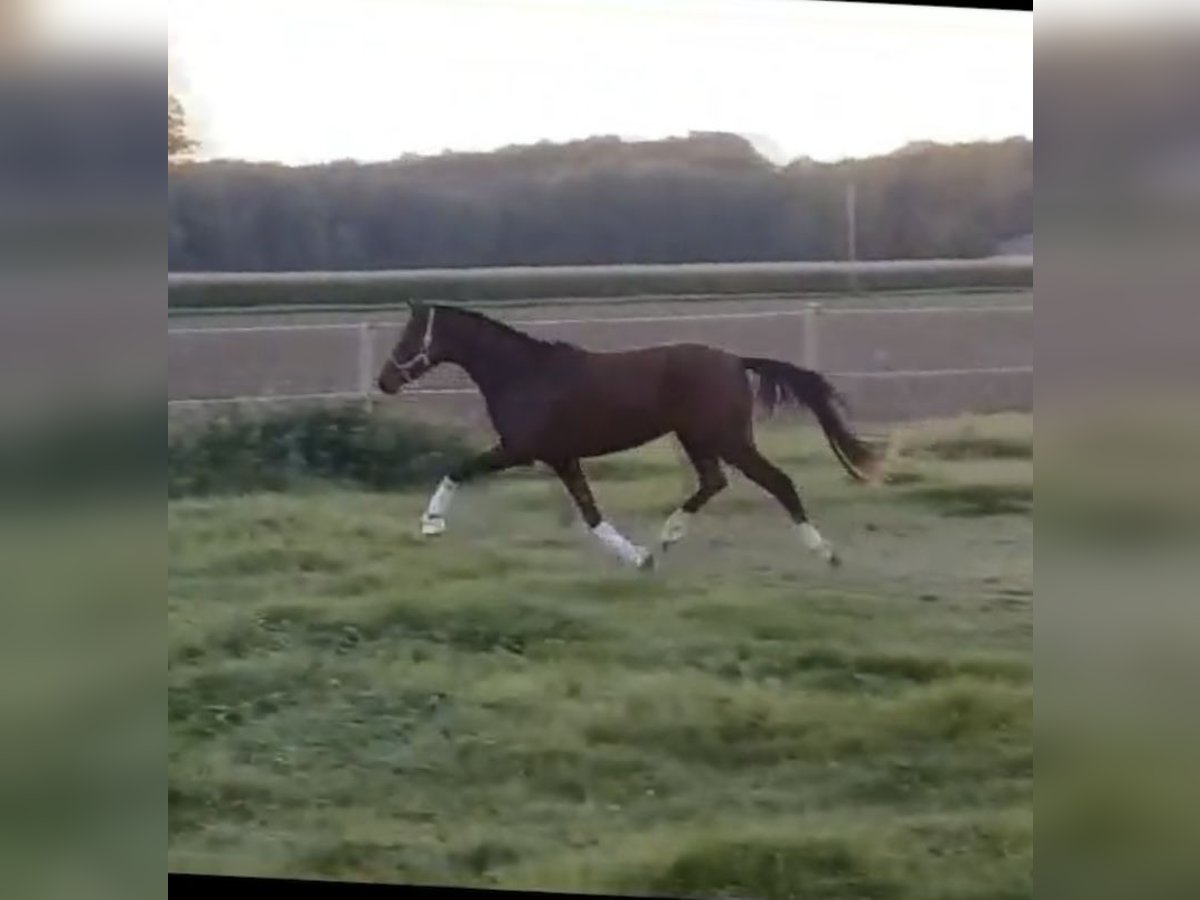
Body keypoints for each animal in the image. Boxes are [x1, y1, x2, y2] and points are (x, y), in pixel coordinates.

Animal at [379, 301, 888, 571]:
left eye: (408, 337)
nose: (384, 381)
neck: (524, 374)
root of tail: (735, 360)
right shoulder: (561, 457)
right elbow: (590, 513)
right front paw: (639, 557)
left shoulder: (521, 450)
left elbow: (459, 468)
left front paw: (431, 523)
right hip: (698, 438)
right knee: (713, 482)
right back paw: (668, 536)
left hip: (726, 437)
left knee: (777, 481)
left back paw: (825, 552)